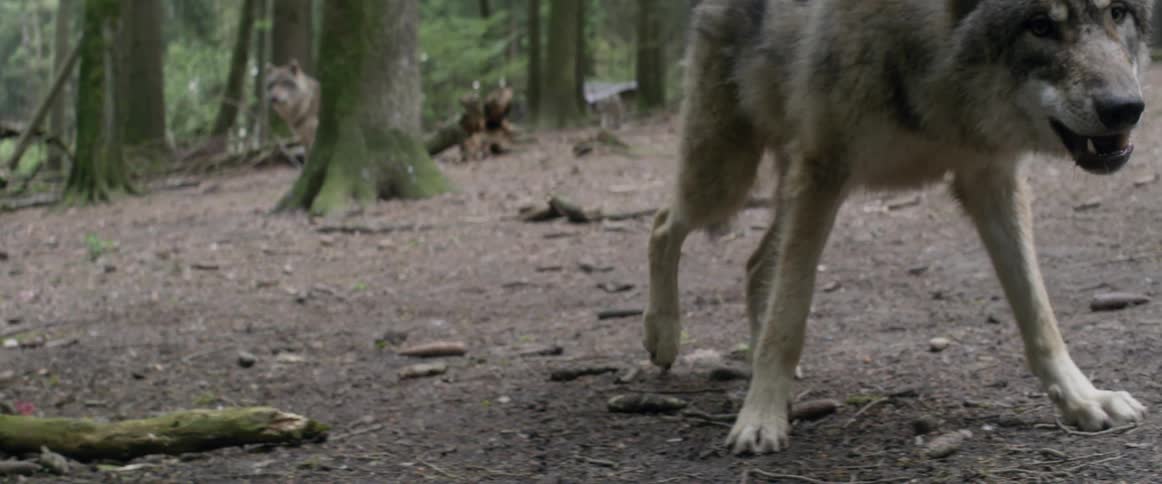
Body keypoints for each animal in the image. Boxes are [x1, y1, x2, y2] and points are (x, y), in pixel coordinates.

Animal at [643, 0, 1153, 455]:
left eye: (1117, 12)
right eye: (1040, 25)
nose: (1126, 107)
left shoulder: (993, 179)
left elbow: (1039, 315)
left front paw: (1084, 398)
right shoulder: (822, 175)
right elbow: (789, 314)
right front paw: (760, 417)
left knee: (754, 264)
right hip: (725, 179)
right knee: (663, 225)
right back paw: (663, 336)